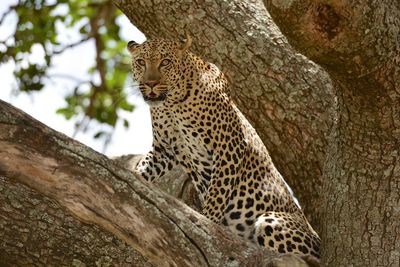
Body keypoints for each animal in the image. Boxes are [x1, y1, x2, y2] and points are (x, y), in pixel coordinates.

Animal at [126, 34, 320, 258]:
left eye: (165, 62)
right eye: (141, 62)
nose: (150, 83)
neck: (171, 104)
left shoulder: (228, 146)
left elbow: (217, 196)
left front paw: (206, 227)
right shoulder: (164, 149)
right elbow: (144, 167)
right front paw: (132, 180)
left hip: (271, 220)